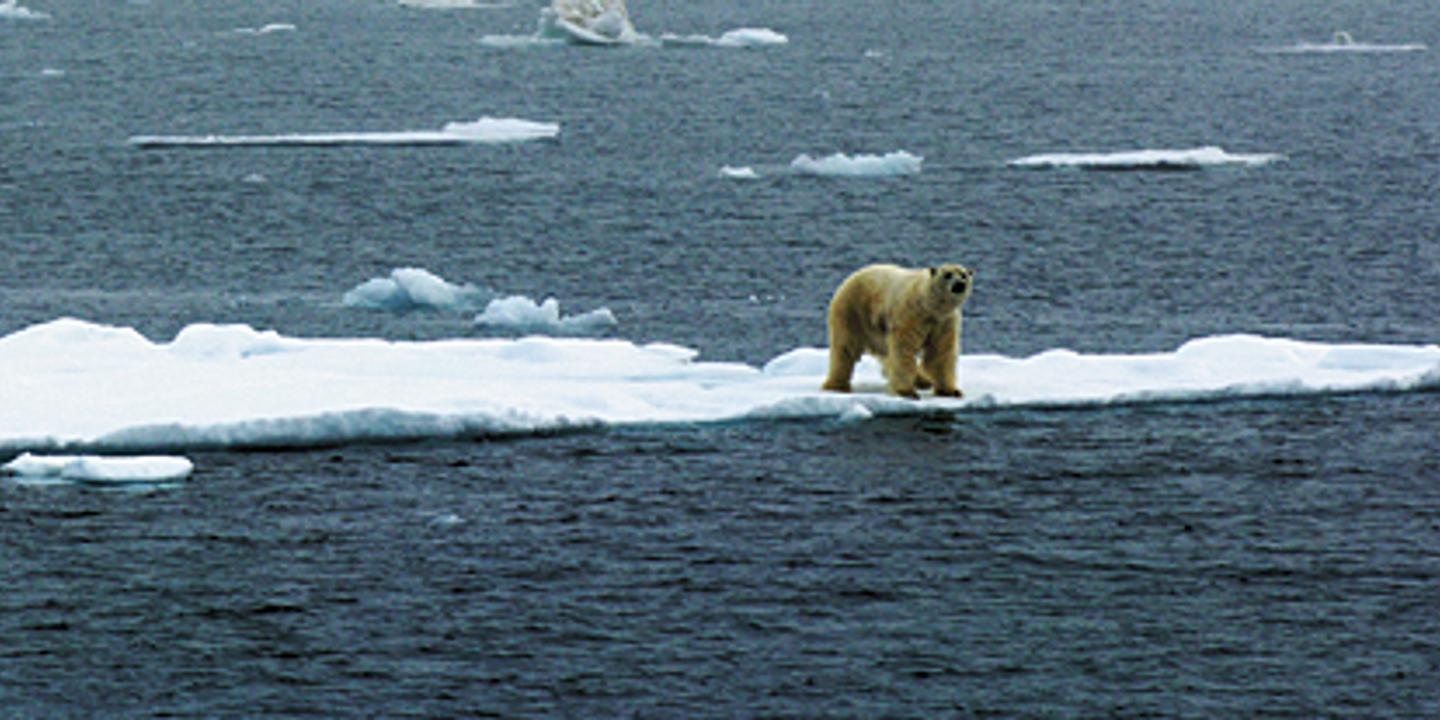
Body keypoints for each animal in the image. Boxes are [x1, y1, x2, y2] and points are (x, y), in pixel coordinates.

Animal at [823, 263, 967, 400]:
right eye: (948, 275)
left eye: (963, 274)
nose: (960, 284)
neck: (929, 306)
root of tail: (847, 281)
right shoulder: (911, 315)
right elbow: (903, 350)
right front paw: (906, 392)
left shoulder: (945, 322)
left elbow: (941, 353)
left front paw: (951, 391)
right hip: (853, 313)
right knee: (845, 348)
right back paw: (837, 386)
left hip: (876, 329)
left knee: (885, 353)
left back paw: (922, 381)